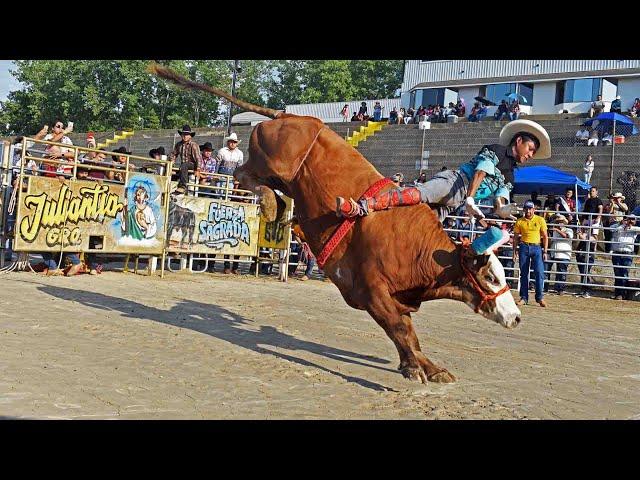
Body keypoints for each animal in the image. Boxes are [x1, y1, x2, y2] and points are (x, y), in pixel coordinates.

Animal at [150, 64, 520, 386]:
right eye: (491, 276)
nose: (517, 317)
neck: (419, 251)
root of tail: (287, 116)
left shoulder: (396, 298)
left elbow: (409, 334)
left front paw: (427, 367)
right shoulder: (372, 292)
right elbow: (399, 329)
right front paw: (416, 369)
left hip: (285, 179)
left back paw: (281, 207)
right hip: (271, 166)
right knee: (243, 174)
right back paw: (271, 204)